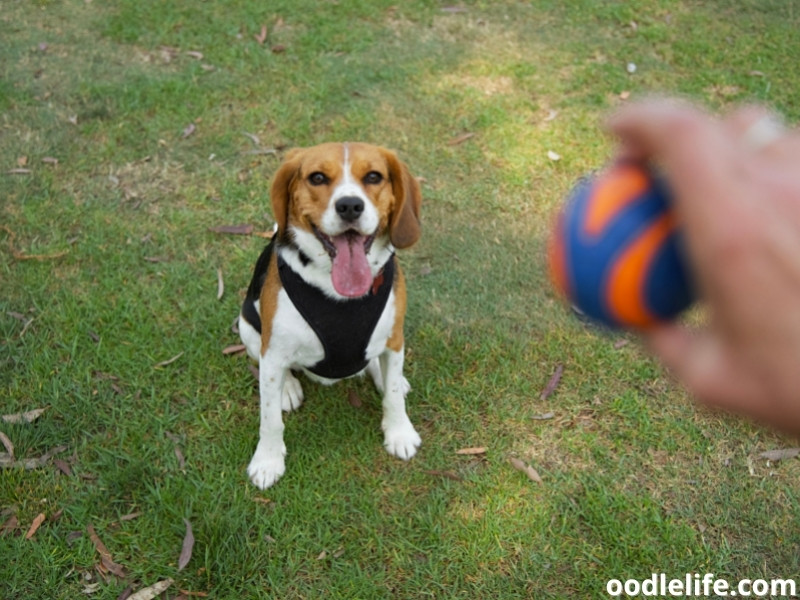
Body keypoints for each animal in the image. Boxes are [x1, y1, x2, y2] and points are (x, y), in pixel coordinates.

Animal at [239, 143, 422, 490]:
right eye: (317, 178)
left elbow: (393, 396)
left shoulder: (394, 338)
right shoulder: (273, 349)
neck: (337, 293)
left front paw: (399, 432)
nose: (349, 206)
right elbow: (269, 418)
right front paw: (267, 460)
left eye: (374, 176)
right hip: (247, 327)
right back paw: (288, 388)